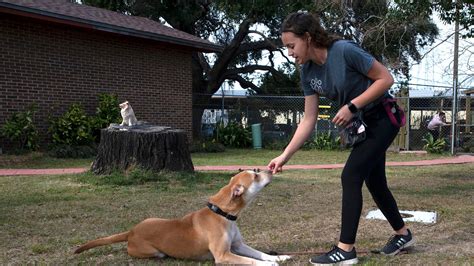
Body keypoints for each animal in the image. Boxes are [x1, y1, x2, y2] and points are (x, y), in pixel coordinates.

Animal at [74, 170, 290, 264]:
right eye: (255, 176)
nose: (271, 169)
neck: (222, 213)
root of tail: (131, 231)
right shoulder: (223, 255)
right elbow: (253, 261)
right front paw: (270, 263)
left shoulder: (238, 246)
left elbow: (258, 253)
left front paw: (279, 256)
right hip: (152, 251)